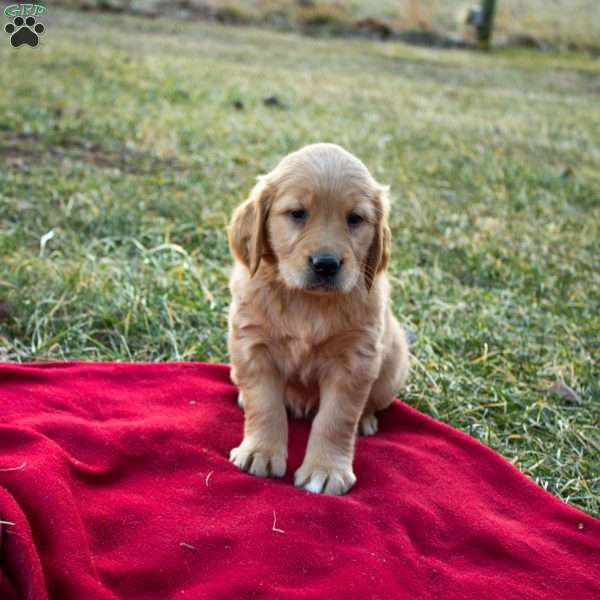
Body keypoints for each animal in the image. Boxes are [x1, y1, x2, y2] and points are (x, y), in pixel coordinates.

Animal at [227, 143, 410, 494]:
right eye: (298, 213)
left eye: (355, 219)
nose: (326, 264)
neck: (308, 302)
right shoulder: (252, 346)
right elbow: (265, 404)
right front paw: (260, 451)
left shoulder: (355, 360)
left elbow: (336, 419)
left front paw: (325, 470)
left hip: (393, 369)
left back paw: (366, 420)